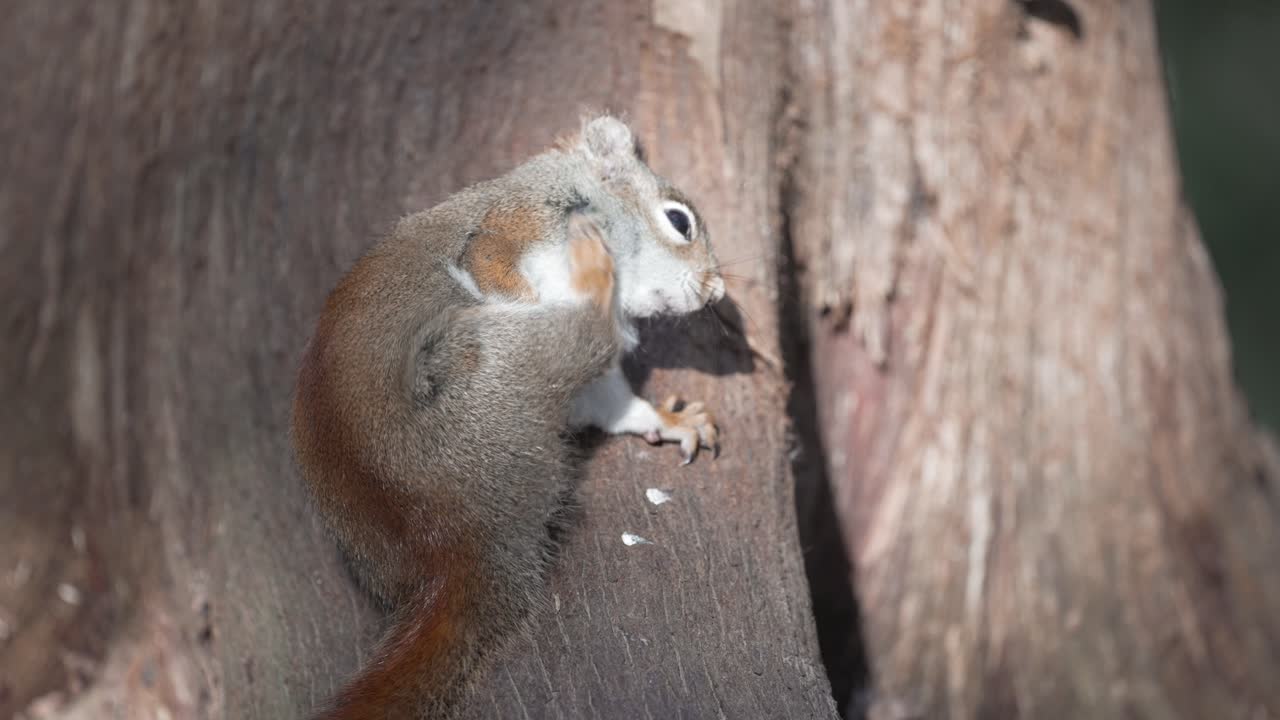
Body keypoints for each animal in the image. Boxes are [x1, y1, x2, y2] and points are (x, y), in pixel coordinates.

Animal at [290, 115, 724, 719]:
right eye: (679, 220)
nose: (716, 290)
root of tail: (452, 534)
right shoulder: (515, 225)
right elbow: (496, 270)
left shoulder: (597, 388)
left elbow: (613, 404)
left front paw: (666, 418)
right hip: (495, 359)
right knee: (578, 334)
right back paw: (593, 276)